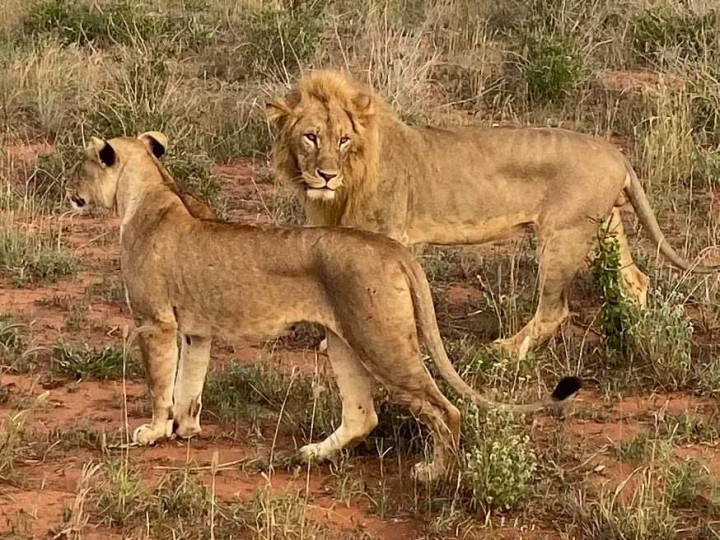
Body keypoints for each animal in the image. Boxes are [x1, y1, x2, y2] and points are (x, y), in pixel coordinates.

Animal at [63, 130, 580, 480]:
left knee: (444, 409)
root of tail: (393, 250)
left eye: (80, 165)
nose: (70, 192)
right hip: (343, 339)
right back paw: (313, 453)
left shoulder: (155, 323)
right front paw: (184, 429)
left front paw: (151, 431)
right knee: (363, 414)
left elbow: (159, 384)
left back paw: (433, 473)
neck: (151, 192)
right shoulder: (195, 330)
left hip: (380, 339)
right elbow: (189, 383)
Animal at [266, 70, 720, 358]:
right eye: (310, 137)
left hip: (563, 236)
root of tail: (616, 152)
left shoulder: (386, 236)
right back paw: (637, 338)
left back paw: (507, 351)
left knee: (554, 311)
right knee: (635, 281)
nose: (326, 175)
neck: (343, 188)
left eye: (343, 140)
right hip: (605, 226)